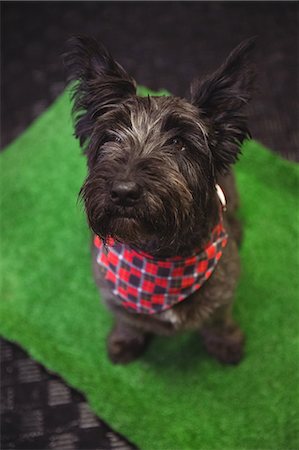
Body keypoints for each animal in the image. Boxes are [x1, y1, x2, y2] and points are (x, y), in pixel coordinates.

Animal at [65, 35, 255, 366]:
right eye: (112, 136)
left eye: (179, 143)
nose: (123, 191)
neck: (159, 255)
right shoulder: (111, 292)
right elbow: (128, 321)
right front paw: (125, 342)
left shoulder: (225, 288)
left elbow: (219, 319)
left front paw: (225, 343)